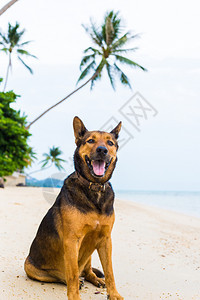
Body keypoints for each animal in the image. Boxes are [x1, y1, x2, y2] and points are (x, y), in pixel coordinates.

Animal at [24, 116, 122, 298]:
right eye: (90, 140)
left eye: (110, 143)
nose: (102, 150)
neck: (94, 188)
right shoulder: (72, 241)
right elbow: (73, 274)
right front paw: (74, 295)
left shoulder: (105, 239)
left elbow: (110, 272)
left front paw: (114, 294)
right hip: (30, 267)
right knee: (67, 275)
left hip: (92, 248)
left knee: (87, 270)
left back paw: (96, 279)